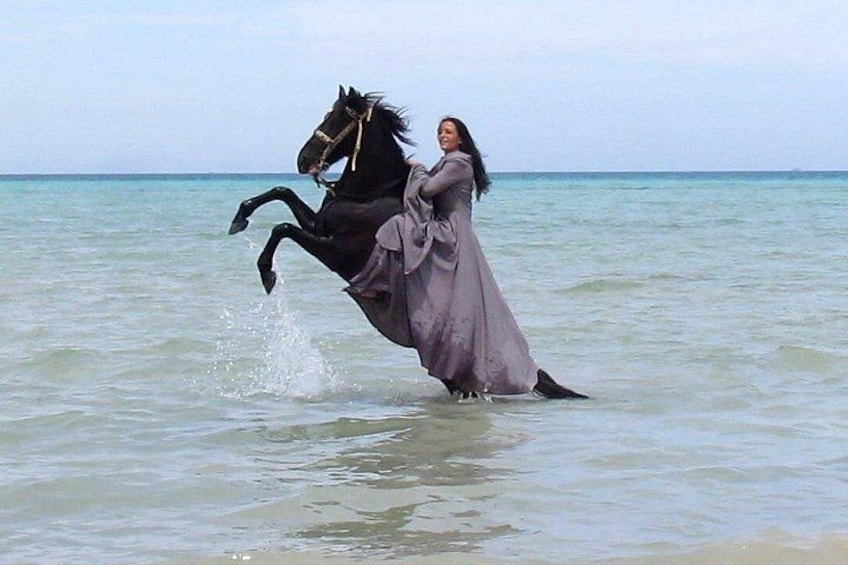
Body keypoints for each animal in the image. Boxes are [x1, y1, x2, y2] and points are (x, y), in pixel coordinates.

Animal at [228, 86, 587, 400]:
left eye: (338, 118)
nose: (303, 161)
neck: (370, 194)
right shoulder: (318, 224)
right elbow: (281, 192)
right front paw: (240, 218)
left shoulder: (336, 251)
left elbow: (282, 227)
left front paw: (267, 274)